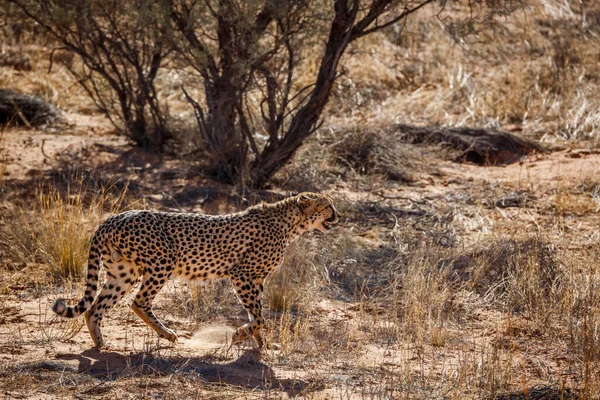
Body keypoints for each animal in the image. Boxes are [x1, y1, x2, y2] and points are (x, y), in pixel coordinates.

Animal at [52, 192, 340, 348]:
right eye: (328, 206)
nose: (339, 216)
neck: (291, 224)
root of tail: (115, 216)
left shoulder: (256, 279)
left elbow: (258, 314)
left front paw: (261, 344)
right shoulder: (243, 275)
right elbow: (259, 317)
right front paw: (239, 336)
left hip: (123, 272)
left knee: (95, 308)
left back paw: (101, 344)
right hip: (163, 260)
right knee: (139, 302)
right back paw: (167, 334)